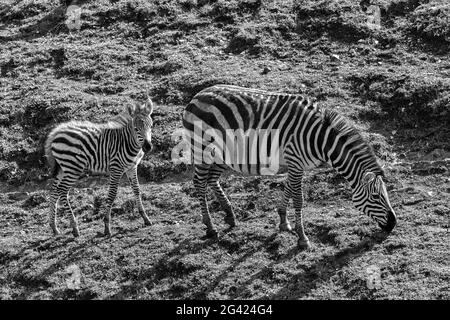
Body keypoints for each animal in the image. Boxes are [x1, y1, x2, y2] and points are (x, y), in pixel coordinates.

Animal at [44, 95, 155, 238]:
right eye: (136, 129)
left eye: (151, 126)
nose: (148, 147)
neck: (127, 142)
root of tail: (56, 132)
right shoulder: (116, 169)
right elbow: (112, 194)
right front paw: (107, 227)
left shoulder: (132, 167)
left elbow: (137, 190)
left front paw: (145, 218)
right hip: (73, 167)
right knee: (62, 190)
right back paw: (74, 228)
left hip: (63, 168)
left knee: (53, 191)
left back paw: (54, 227)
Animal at [181, 85, 396, 250]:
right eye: (376, 196)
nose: (393, 224)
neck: (319, 139)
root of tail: (197, 95)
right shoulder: (295, 161)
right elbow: (298, 199)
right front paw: (302, 238)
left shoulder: (296, 165)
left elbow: (289, 190)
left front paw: (284, 221)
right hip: (201, 149)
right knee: (199, 183)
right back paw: (210, 227)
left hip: (221, 154)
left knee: (212, 180)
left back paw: (229, 215)